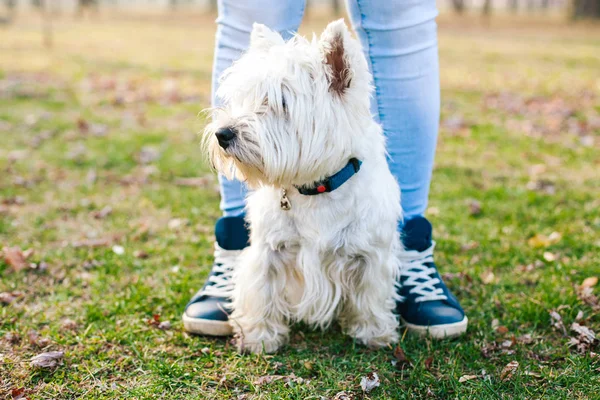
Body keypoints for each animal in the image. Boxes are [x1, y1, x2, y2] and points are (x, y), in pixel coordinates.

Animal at [203, 19, 404, 354]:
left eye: (281, 102)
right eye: (243, 97)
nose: (222, 134)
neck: (317, 188)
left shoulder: (369, 253)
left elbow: (370, 293)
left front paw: (373, 332)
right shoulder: (269, 251)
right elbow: (262, 291)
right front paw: (260, 336)